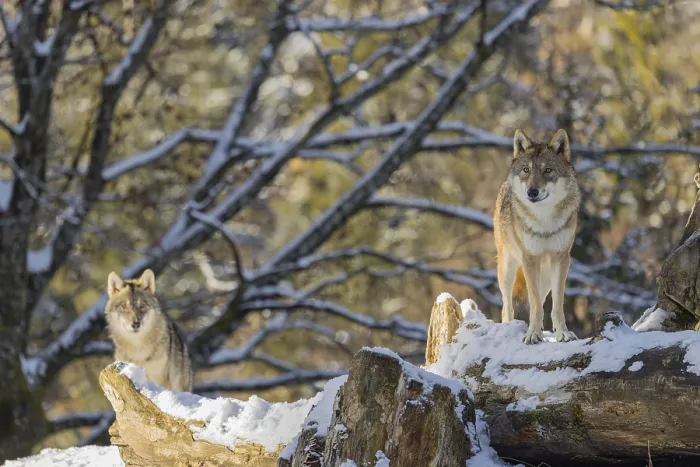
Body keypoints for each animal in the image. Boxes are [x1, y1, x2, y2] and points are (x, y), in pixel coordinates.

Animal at [494, 129, 581, 344]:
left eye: (548, 170)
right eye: (526, 170)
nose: (532, 192)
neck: (544, 220)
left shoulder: (561, 258)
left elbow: (556, 305)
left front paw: (563, 333)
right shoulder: (529, 259)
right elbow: (533, 305)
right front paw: (532, 334)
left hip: (547, 275)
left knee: (541, 301)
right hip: (507, 269)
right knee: (507, 307)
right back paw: (510, 328)